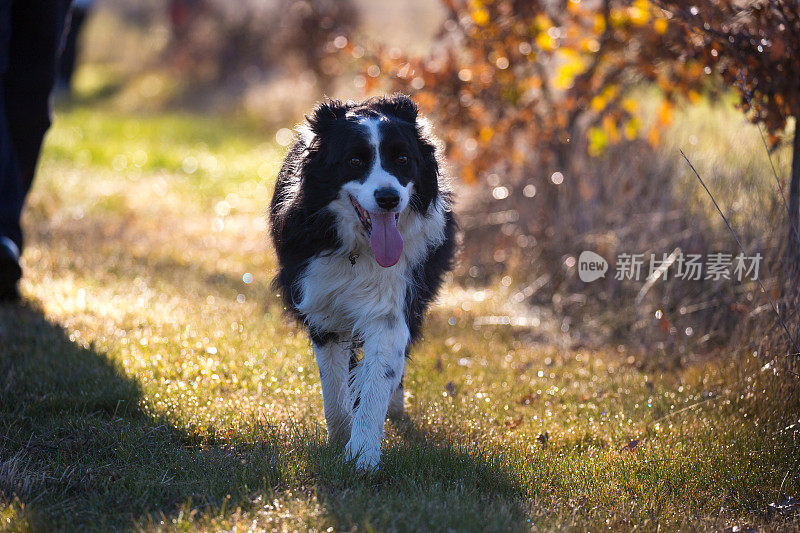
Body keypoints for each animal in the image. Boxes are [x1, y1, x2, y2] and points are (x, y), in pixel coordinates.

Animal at [268, 95, 456, 470]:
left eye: (402, 159)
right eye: (355, 161)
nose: (388, 198)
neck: (359, 247)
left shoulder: (391, 306)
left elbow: (377, 378)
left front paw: (362, 456)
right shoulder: (322, 305)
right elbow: (334, 384)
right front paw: (340, 440)